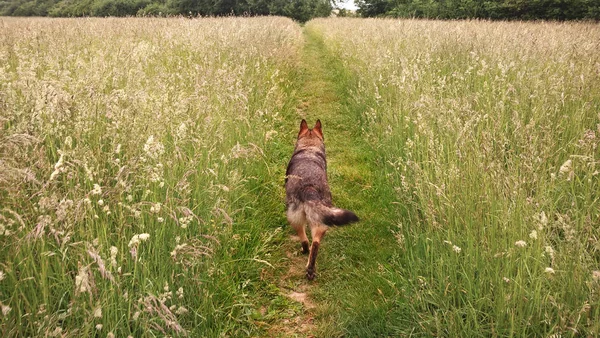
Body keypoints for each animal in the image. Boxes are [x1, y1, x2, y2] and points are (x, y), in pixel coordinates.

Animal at [284, 119, 358, 280]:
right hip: (322, 222)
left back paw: (304, 252)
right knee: (315, 243)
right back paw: (310, 270)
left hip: (294, 219)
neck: (309, 147)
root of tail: (309, 188)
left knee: (305, 240)